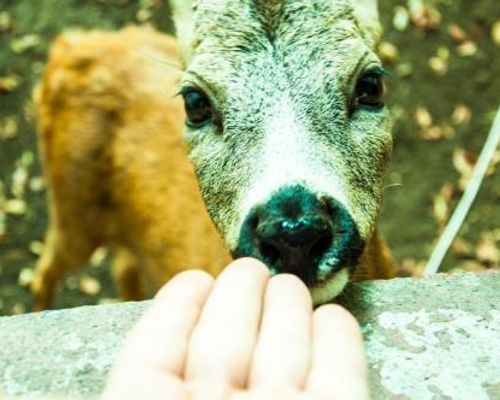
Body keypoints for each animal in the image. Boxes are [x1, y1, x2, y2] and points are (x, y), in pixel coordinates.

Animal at [33, 0, 396, 310]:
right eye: (194, 102)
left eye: (371, 85)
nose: (294, 231)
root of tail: (70, 45)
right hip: (72, 205)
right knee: (46, 267)